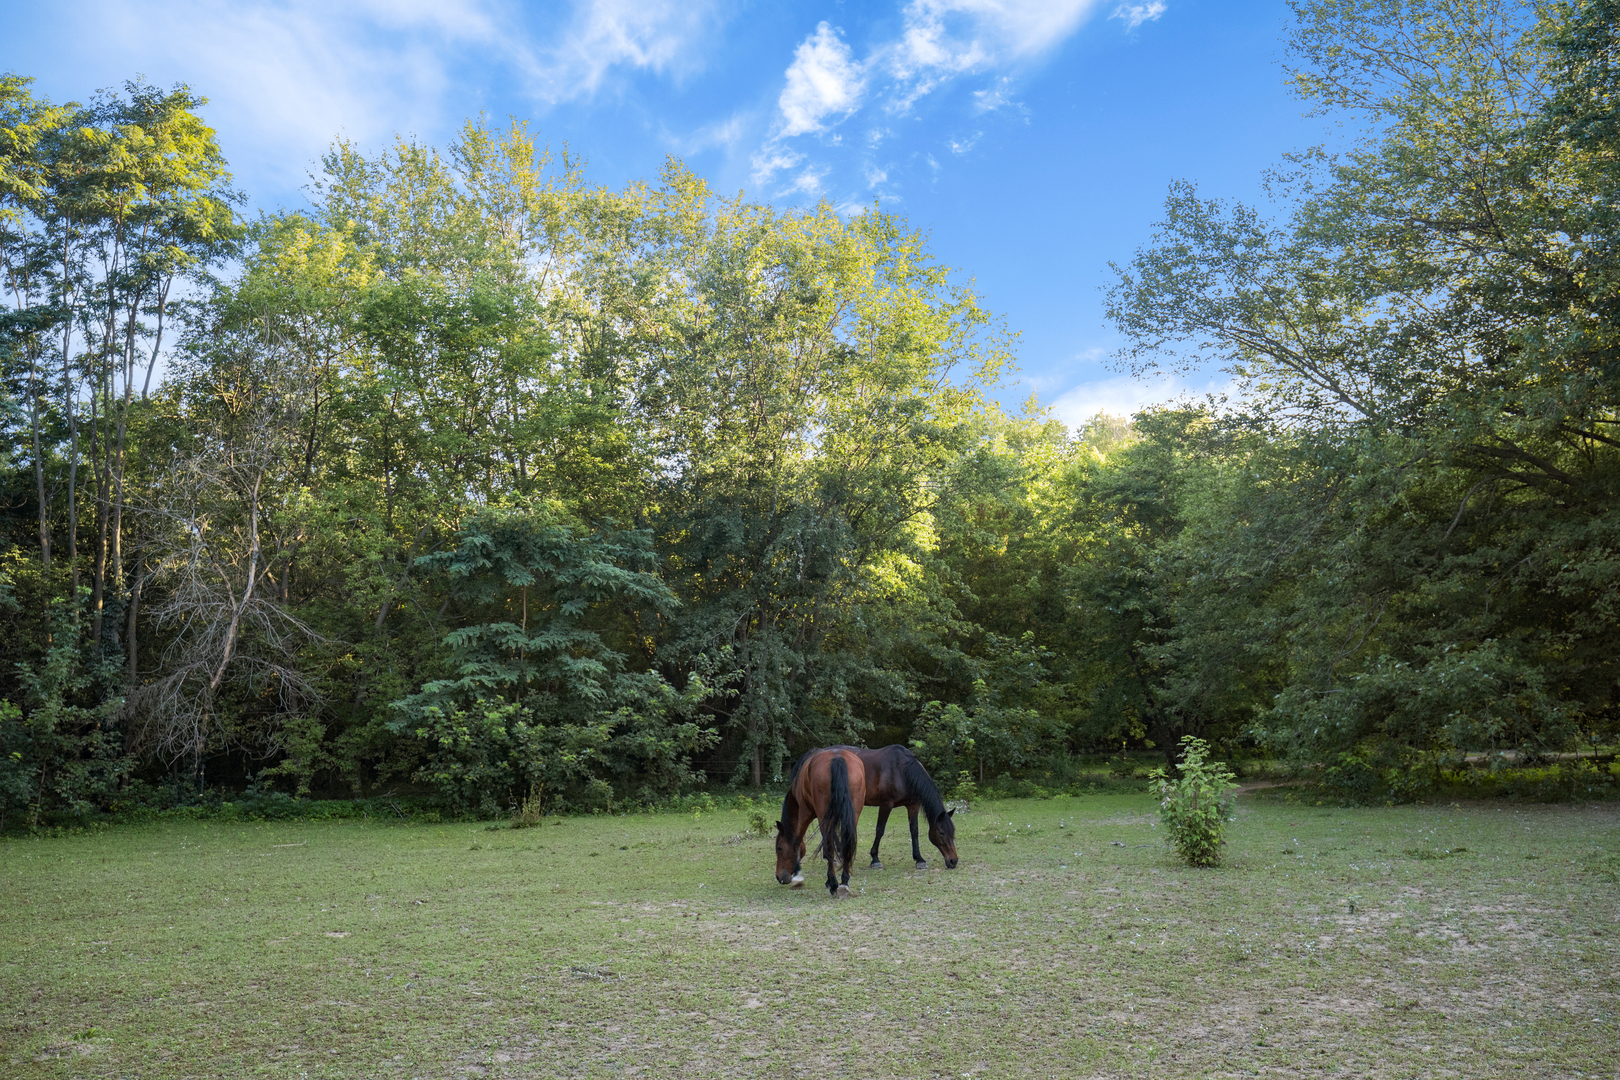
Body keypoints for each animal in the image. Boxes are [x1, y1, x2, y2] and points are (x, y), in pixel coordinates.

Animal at [777, 748, 868, 900]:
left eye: (779, 848)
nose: (779, 877)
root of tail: (837, 758)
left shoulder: (805, 812)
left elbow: (798, 840)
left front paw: (798, 877)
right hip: (853, 814)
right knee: (847, 843)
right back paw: (844, 883)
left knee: (829, 845)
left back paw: (833, 884)